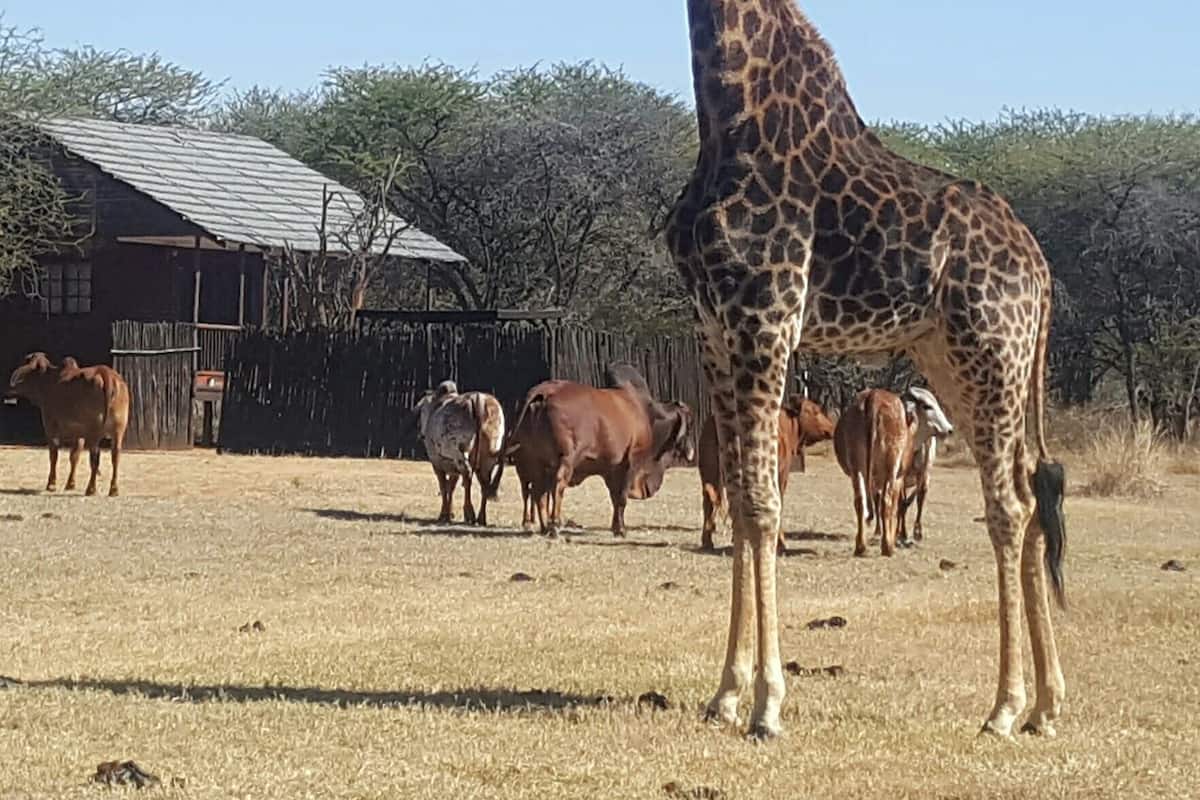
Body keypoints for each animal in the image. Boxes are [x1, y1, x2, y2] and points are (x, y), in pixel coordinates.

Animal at [7, 353, 130, 497]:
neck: (48, 381)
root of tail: (106, 373)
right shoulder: (79, 433)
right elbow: (74, 456)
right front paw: (70, 484)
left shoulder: (51, 427)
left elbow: (54, 455)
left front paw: (51, 484)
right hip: (118, 430)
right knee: (115, 455)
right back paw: (113, 489)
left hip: (94, 431)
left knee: (95, 457)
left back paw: (91, 489)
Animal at [412, 381, 505, 526]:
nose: (421, 434)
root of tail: (478, 398)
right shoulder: (452, 467)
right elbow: (451, 487)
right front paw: (450, 513)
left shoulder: (437, 463)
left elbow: (444, 487)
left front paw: (444, 514)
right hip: (489, 455)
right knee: (484, 482)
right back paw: (481, 517)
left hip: (459, 452)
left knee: (467, 475)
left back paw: (469, 513)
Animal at [504, 363, 695, 537]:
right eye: (690, 425)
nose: (691, 451)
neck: (647, 413)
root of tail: (545, 390)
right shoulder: (631, 463)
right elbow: (622, 497)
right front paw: (621, 530)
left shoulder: (611, 469)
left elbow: (614, 497)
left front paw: (616, 526)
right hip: (565, 459)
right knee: (555, 486)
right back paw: (554, 526)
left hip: (534, 462)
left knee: (538, 492)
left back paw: (544, 527)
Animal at [697, 394, 835, 552]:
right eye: (815, 411)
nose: (832, 428)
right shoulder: (781, 475)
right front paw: (780, 542)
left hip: (709, 472)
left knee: (709, 500)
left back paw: (708, 541)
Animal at [833, 387, 953, 557]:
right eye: (927, 406)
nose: (949, 429)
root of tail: (874, 396)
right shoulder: (899, 477)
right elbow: (897, 506)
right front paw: (896, 536)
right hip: (892, 466)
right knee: (886, 501)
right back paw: (887, 546)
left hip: (858, 469)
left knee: (860, 501)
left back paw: (861, 546)